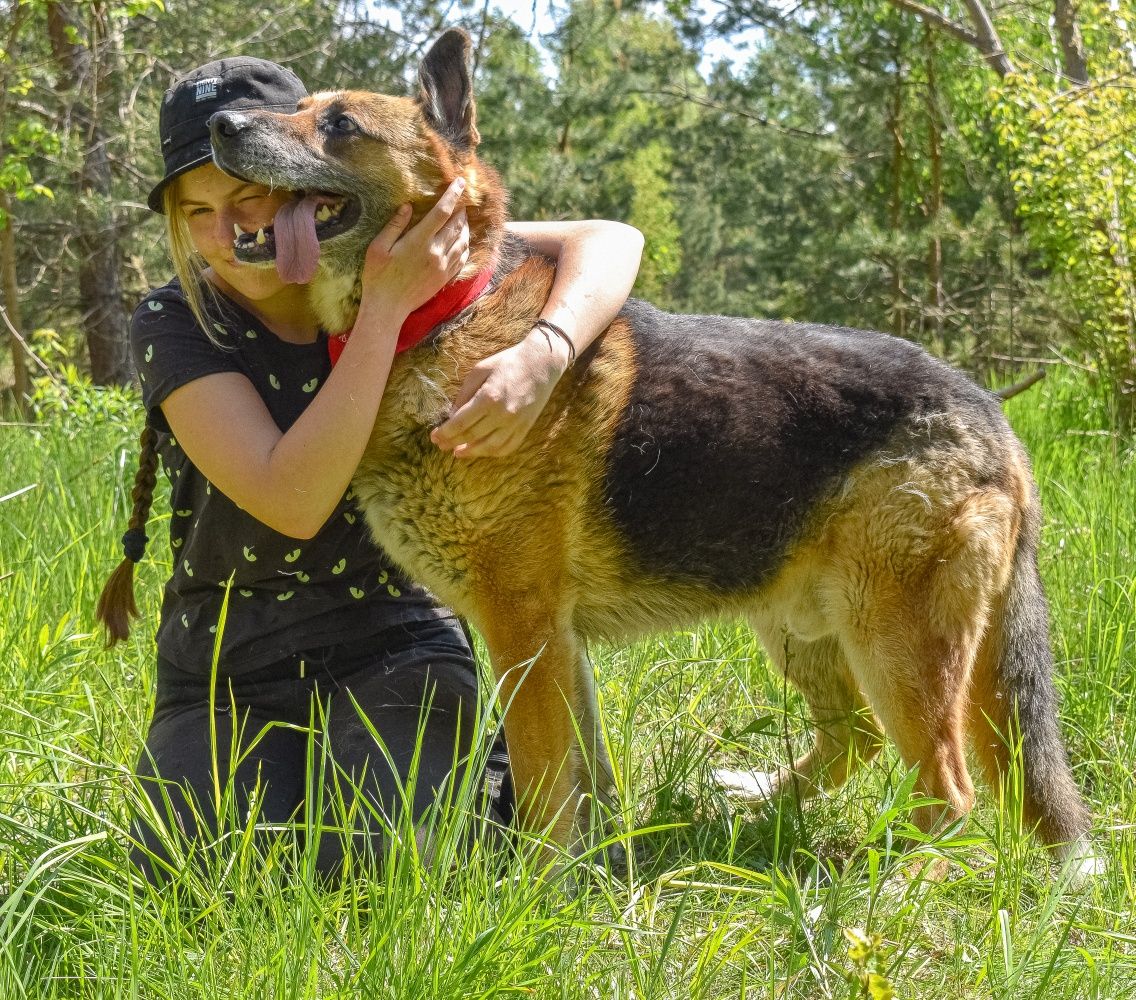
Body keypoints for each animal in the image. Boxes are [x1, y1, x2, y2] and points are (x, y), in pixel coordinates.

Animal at [209, 25, 1095, 868]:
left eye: (339, 125)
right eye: (302, 108)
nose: (222, 123)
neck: (442, 316)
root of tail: (991, 416)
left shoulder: (523, 632)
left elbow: (544, 789)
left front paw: (534, 890)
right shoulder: (559, 644)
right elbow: (587, 779)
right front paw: (594, 870)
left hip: (893, 643)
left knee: (948, 794)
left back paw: (886, 882)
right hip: (802, 627)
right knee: (858, 741)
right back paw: (753, 807)